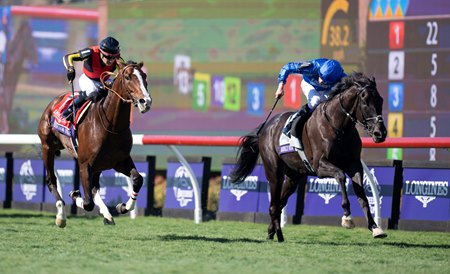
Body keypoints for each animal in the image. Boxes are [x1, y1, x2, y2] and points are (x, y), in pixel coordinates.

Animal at [37, 60, 153, 227]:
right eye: (127, 77)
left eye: (144, 76)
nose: (146, 102)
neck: (111, 125)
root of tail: (54, 101)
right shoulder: (85, 164)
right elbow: (87, 203)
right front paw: (74, 194)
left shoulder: (120, 161)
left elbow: (138, 179)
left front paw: (123, 207)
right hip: (48, 147)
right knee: (51, 179)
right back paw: (61, 216)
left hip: (98, 164)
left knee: (94, 188)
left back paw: (107, 215)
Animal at [230, 72, 388, 242]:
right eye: (365, 102)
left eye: (380, 100)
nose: (380, 133)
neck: (339, 127)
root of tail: (266, 127)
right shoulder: (319, 165)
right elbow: (340, 176)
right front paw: (347, 217)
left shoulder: (354, 164)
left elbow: (362, 195)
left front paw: (375, 228)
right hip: (274, 171)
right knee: (274, 205)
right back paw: (278, 234)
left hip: (293, 176)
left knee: (280, 203)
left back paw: (273, 232)